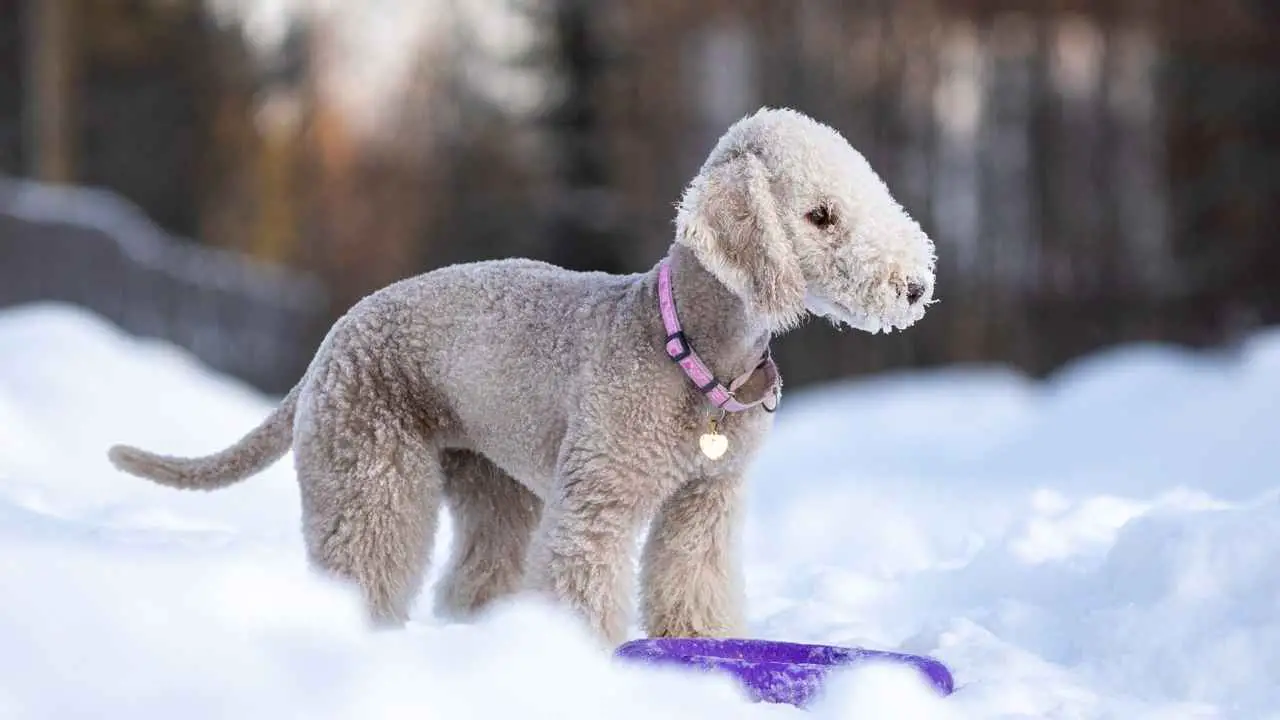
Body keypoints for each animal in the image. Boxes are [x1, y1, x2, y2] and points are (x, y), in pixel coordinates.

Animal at [104, 107, 936, 645]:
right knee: (366, 562)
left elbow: (693, 584)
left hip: (493, 480)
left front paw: (701, 648)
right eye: (821, 215)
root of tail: (328, 345)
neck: (691, 353)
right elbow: (581, 589)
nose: (915, 285)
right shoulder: (597, 500)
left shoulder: (706, 502)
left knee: (472, 576)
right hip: (369, 471)